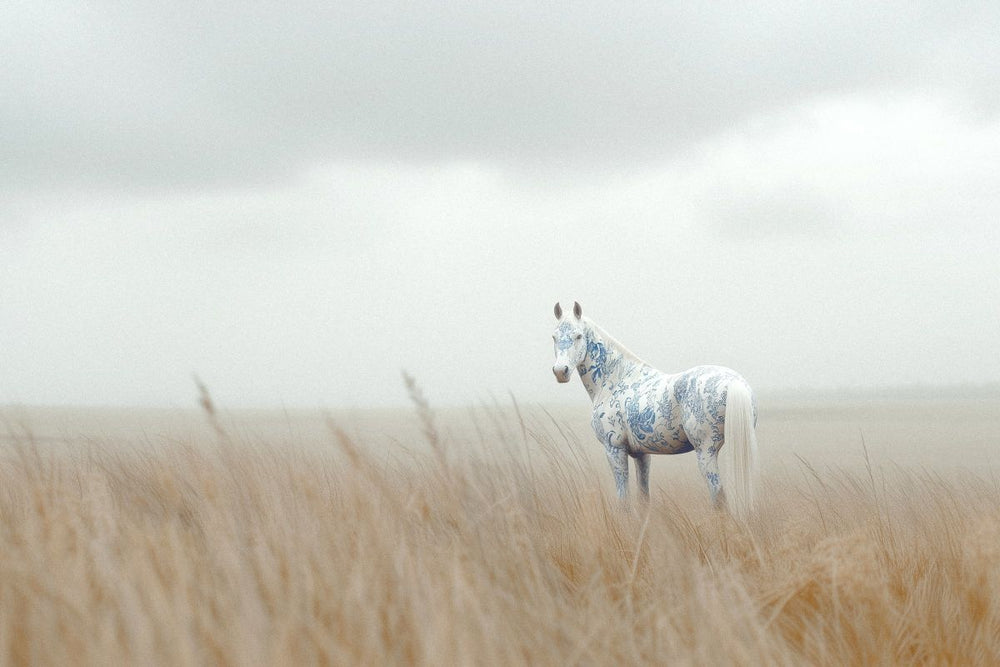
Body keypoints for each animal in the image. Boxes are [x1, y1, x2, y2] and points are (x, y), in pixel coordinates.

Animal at [551, 301, 758, 515]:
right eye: (554, 337)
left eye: (578, 336)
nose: (560, 372)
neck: (615, 379)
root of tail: (734, 383)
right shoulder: (642, 455)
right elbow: (643, 499)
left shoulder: (614, 450)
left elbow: (623, 501)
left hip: (705, 452)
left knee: (718, 496)